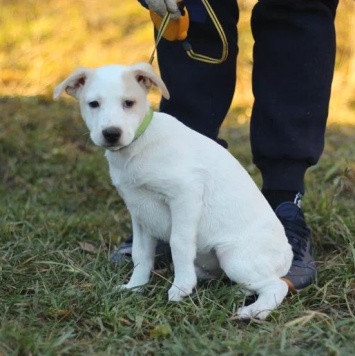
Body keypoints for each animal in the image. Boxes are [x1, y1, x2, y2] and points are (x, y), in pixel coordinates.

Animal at [54, 63, 294, 320]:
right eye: (93, 104)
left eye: (128, 103)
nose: (111, 133)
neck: (137, 147)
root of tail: (287, 254)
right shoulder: (139, 211)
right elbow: (140, 254)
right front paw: (134, 287)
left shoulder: (185, 194)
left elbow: (179, 243)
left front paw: (181, 287)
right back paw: (233, 293)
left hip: (235, 257)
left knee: (277, 285)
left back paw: (255, 310)